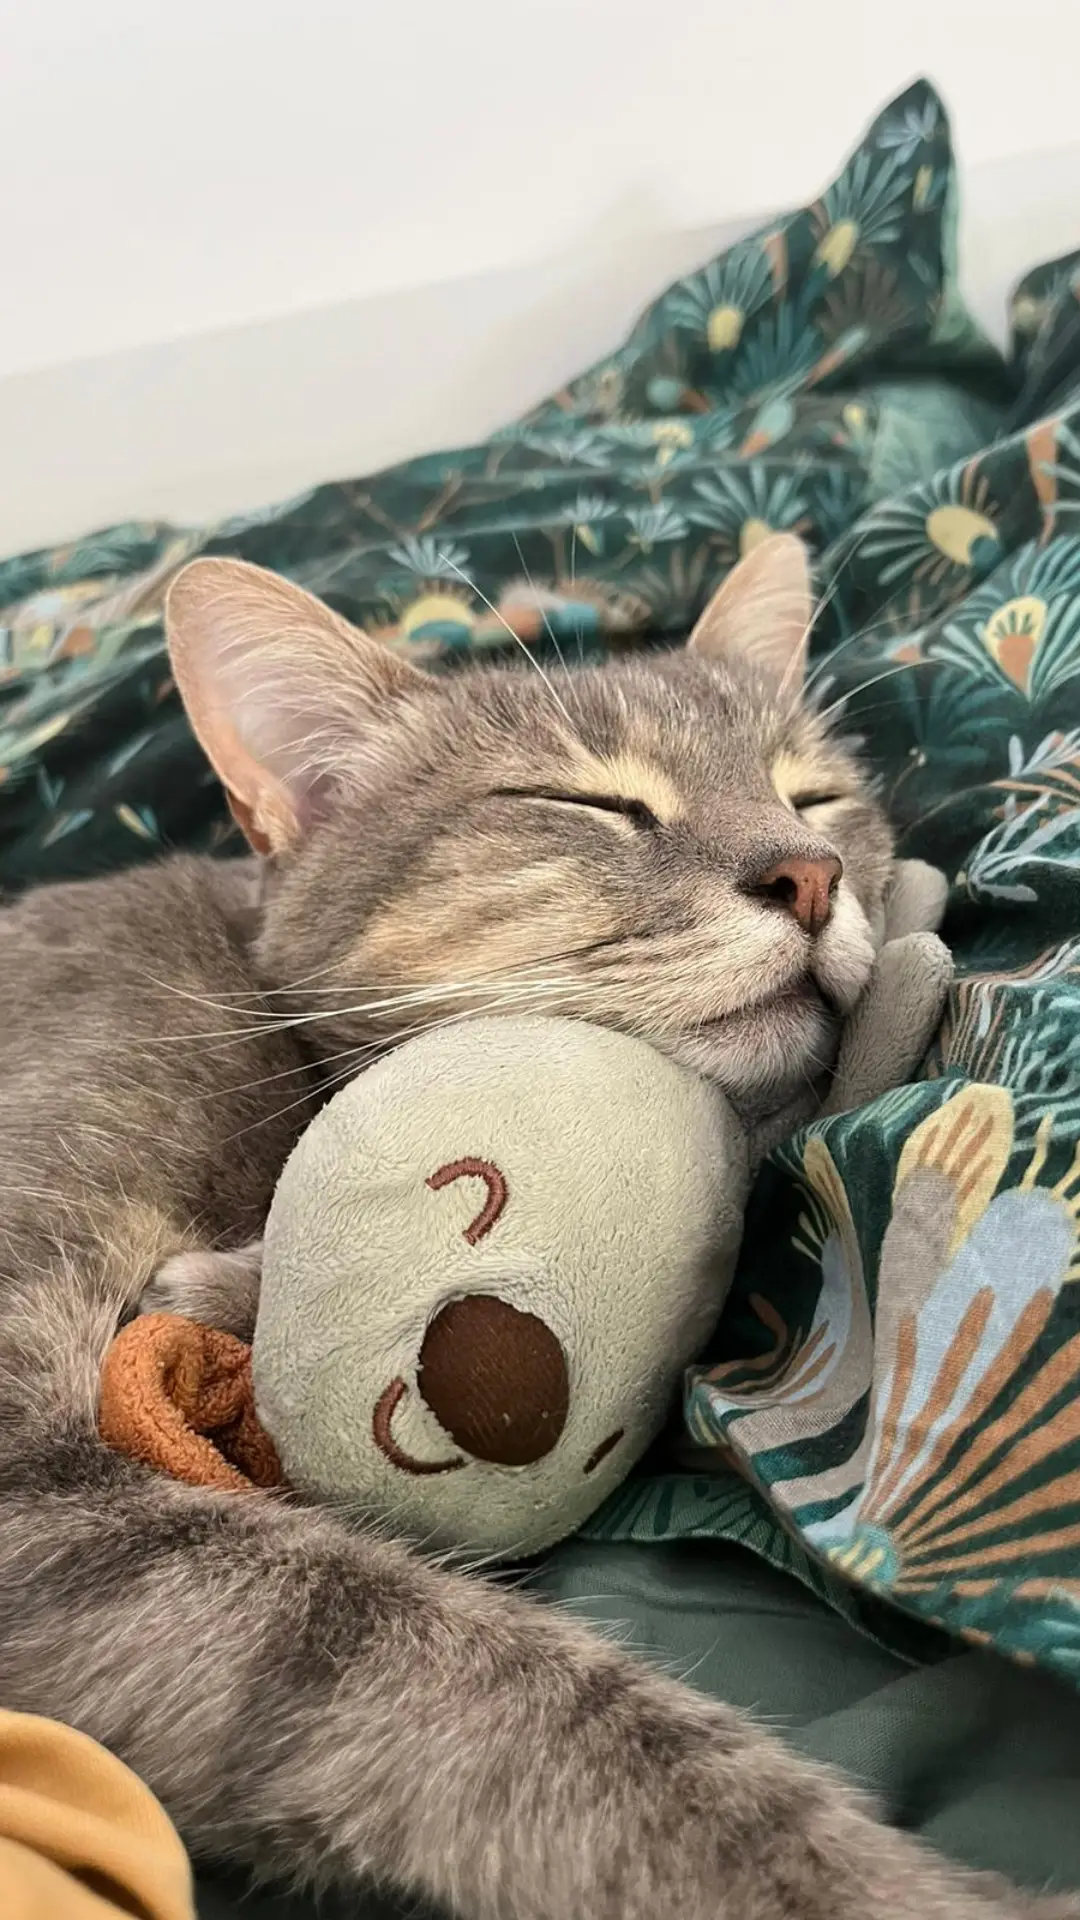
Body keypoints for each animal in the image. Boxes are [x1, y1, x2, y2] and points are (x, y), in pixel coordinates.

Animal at [0, 533, 1068, 1920]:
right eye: (589, 803)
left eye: (814, 795)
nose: (811, 871)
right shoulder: (47, 1486)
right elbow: (515, 1702)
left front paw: (223, 1289)